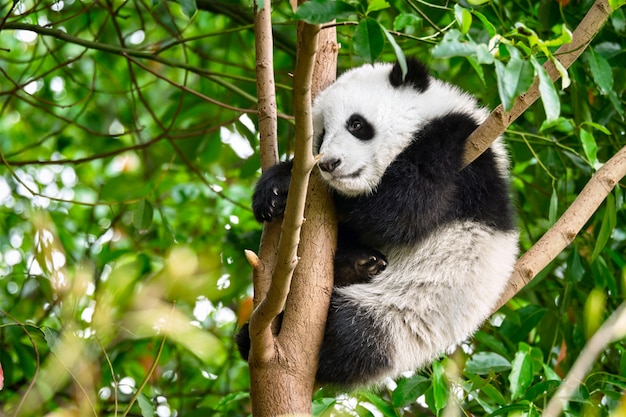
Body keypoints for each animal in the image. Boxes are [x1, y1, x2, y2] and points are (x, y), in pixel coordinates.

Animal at [236, 57, 520, 386]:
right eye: (321, 135)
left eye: (356, 124)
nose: (329, 164)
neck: (427, 113)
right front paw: (276, 190)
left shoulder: (461, 150)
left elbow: (403, 208)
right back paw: (358, 263)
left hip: (400, 316)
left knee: (352, 336)